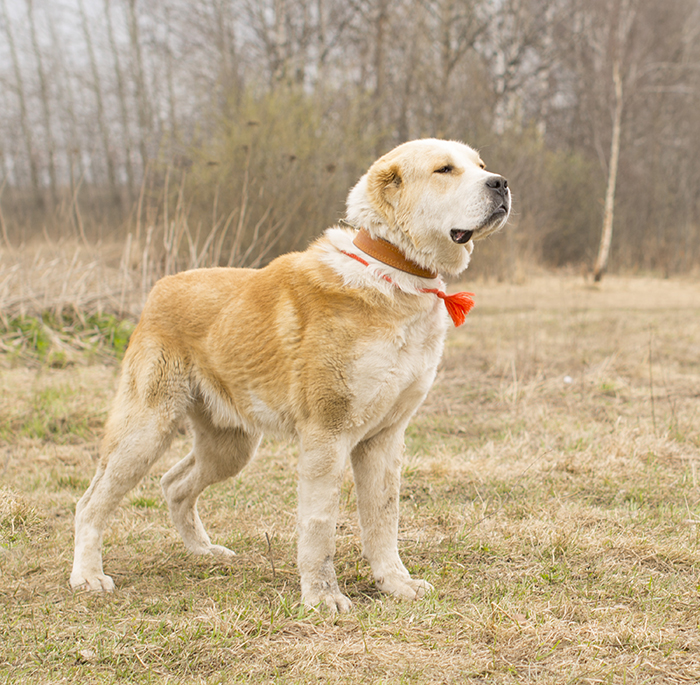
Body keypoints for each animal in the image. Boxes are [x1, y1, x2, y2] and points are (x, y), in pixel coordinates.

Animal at [69, 138, 508, 608]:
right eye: (444, 170)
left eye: (481, 165)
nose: (500, 183)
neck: (394, 276)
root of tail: (158, 290)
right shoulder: (327, 435)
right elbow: (319, 526)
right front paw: (322, 598)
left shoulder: (384, 439)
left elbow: (383, 519)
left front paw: (394, 582)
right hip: (144, 433)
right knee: (91, 502)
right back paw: (88, 575)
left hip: (230, 447)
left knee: (174, 484)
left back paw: (203, 552)